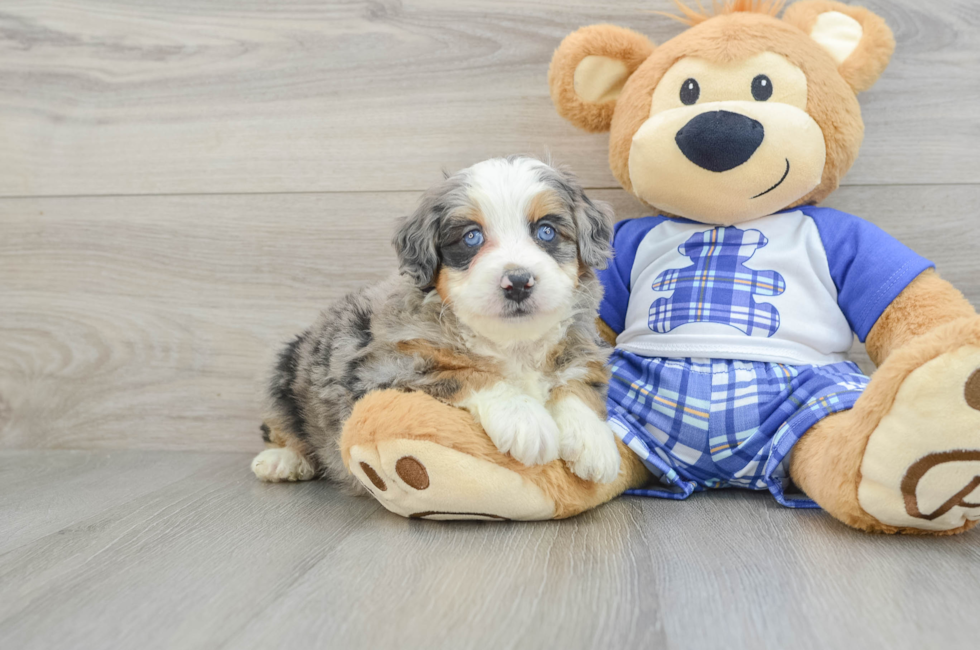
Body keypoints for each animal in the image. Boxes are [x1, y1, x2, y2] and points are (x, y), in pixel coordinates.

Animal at [253, 157, 620, 488]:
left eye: (546, 231)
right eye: (471, 237)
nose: (517, 282)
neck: (512, 342)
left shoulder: (581, 349)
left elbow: (576, 384)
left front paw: (593, 440)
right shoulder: (383, 369)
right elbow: (466, 372)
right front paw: (524, 417)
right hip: (284, 374)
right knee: (280, 427)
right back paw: (282, 459)